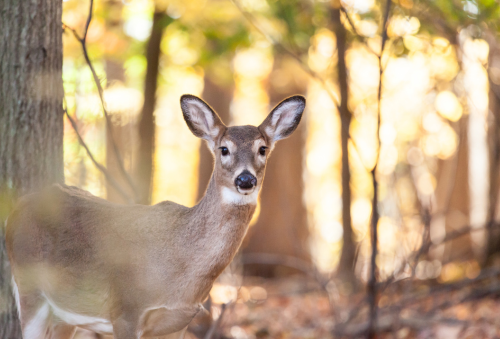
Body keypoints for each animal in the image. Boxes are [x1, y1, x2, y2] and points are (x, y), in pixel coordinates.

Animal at [5, 93, 306, 339]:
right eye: (224, 149)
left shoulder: (178, 322)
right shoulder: (126, 309)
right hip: (29, 287)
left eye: (262, 149)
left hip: (66, 314)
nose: (245, 180)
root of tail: (16, 209)